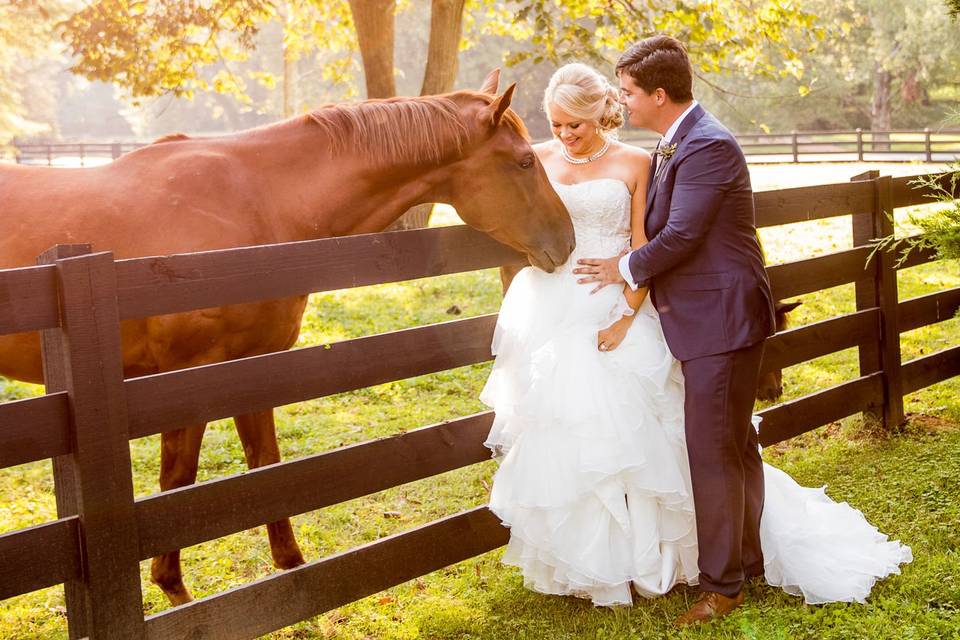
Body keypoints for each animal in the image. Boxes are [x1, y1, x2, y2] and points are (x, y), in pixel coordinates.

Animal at [0, 70, 568, 604]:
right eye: (524, 161)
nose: (566, 240)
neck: (252, 204)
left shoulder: (255, 368)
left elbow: (266, 471)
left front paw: (292, 573)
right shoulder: (184, 379)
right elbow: (176, 485)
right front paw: (175, 591)